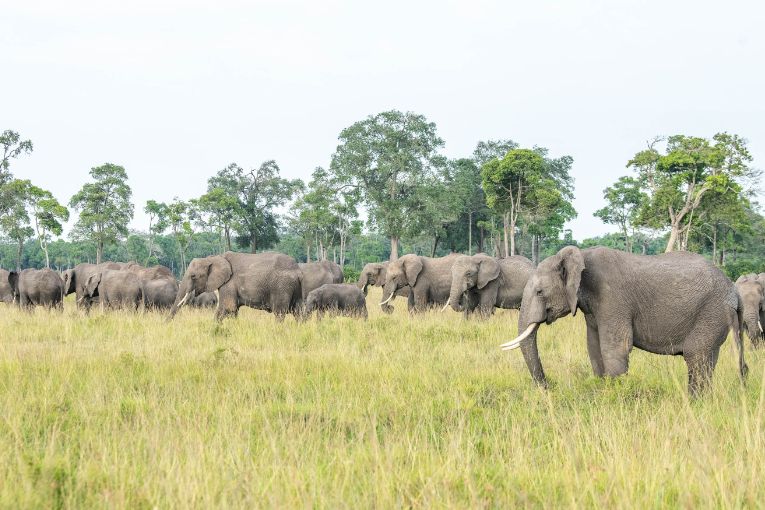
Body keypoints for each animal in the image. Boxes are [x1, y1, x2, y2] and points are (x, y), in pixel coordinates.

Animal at [169, 251, 303, 322]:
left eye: (193, 276)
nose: (167, 324)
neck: (214, 258)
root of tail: (297, 270)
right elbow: (233, 311)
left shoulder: (228, 283)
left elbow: (227, 308)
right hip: (297, 287)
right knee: (298, 311)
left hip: (281, 286)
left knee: (279, 313)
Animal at [500, 246, 747, 396]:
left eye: (540, 292)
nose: (549, 386)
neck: (581, 256)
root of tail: (734, 290)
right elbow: (594, 348)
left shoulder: (612, 297)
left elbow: (615, 348)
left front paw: (615, 398)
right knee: (707, 360)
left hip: (712, 311)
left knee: (696, 357)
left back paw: (694, 403)